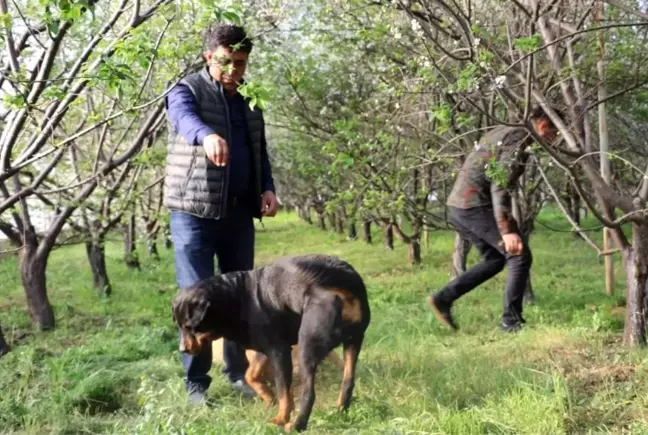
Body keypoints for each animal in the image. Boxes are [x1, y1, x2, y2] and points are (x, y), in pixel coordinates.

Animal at [172, 254, 370, 434]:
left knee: (309, 393)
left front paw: (281, 418)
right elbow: (251, 375)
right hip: (353, 341)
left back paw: (296, 425)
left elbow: (284, 392)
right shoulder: (265, 347)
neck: (235, 297)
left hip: (307, 347)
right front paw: (268, 397)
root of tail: (344, 284)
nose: (183, 349)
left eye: (191, 327)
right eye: (179, 326)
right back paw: (340, 411)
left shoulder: (278, 350)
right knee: (348, 380)